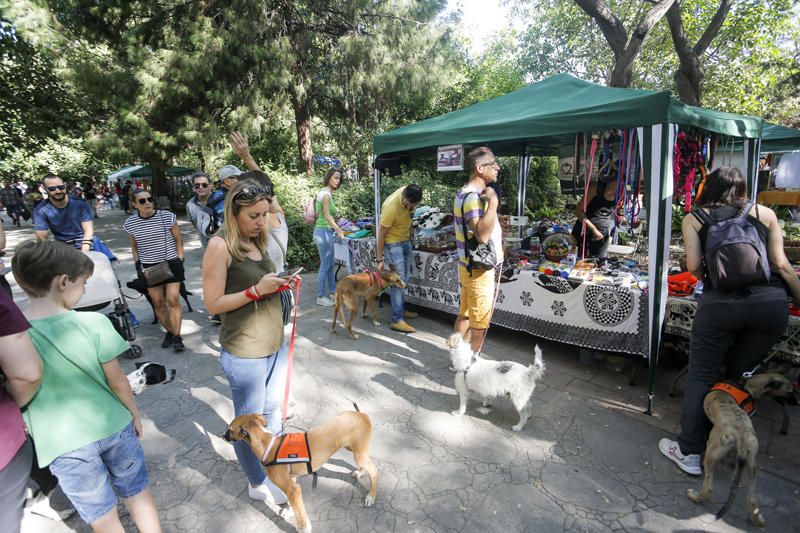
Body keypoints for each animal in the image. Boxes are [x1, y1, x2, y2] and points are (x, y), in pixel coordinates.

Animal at [223, 408, 376, 532]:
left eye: (230, 429)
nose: (223, 436)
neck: (268, 445)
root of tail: (361, 414)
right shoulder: (292, 481)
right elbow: (295, 505)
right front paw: (290, 511)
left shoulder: (292, 489)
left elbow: (300, 513)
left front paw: (304, 528)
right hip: (354, 449)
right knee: (364, 462)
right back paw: (360, 472)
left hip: (358, 453)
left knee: (374, 470)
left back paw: (371, 496)